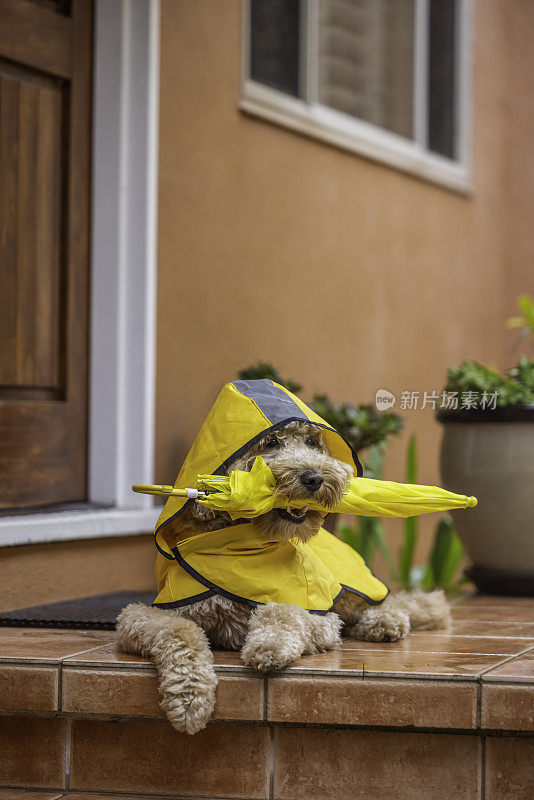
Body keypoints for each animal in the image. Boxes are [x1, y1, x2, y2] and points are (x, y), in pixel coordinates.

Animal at [118, 418, 452, 736]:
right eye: (271, 443)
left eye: (312, 442)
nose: (314, 478)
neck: (244, 547)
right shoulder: (140, 617)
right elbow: (179, 631)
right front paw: (188, 699)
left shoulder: (321, 618)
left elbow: (283, 612)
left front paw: (268, 648)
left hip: (349, 587)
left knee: (387, 604)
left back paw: (383, 623)